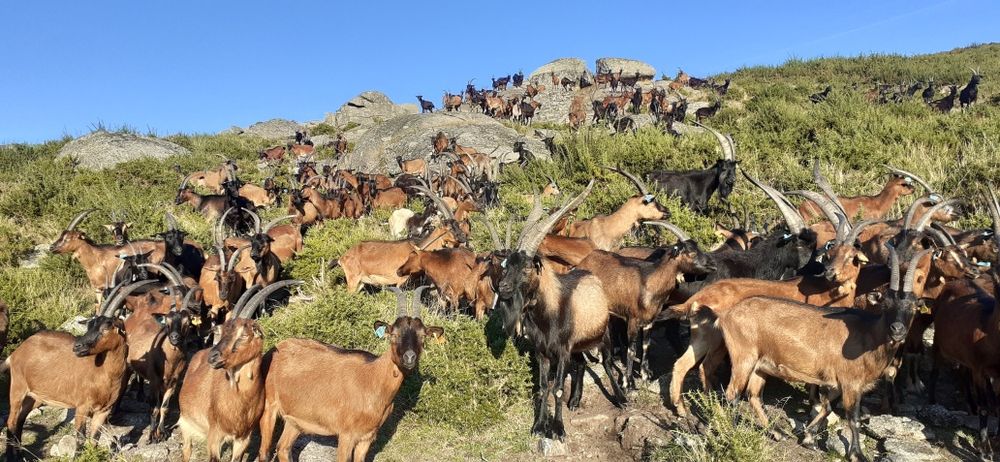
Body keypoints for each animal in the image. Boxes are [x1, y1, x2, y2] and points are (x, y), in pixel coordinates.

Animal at [3, 279, 154, 462]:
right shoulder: (82, 408)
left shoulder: (103, 411)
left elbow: (94, 439)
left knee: (20, 420)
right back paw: (11, 456)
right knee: (11, 422)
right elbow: (81, 439)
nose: (78, 346)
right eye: (89, 325)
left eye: (106, 327)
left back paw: (20, 455)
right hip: (17, 390)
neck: (103, 375)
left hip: (35, 397)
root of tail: (16, 352)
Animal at [178, 280, 301, 462]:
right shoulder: (214, 435)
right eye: (221, 332)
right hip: (186, 423)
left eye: (243, 335)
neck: (239, 402)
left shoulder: (243, 437)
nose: (213, 357)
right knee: (186, 450)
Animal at [258, 288, 443, 462]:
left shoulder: (367, 438)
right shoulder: (346, 435)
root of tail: (276, 348)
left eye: (422, 336)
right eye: (393, 334)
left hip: (295, 420)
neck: (373, 379)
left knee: (283, 448)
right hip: (269, 407)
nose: (409, 357)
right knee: (264, 452)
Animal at [718, 247, 924, 461]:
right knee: (732, 394)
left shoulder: (834, 382)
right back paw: (734, 432)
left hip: (761, 365)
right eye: (886, 304)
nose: (897, 329)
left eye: (914, 307)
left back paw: (777, 432)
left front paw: (809, 438)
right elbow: (853, 418)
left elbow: (827, 407)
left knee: (754, 395)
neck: (869, 334)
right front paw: (857, 454)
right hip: (744, 358)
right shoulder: (851, 383)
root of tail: (727, 316)